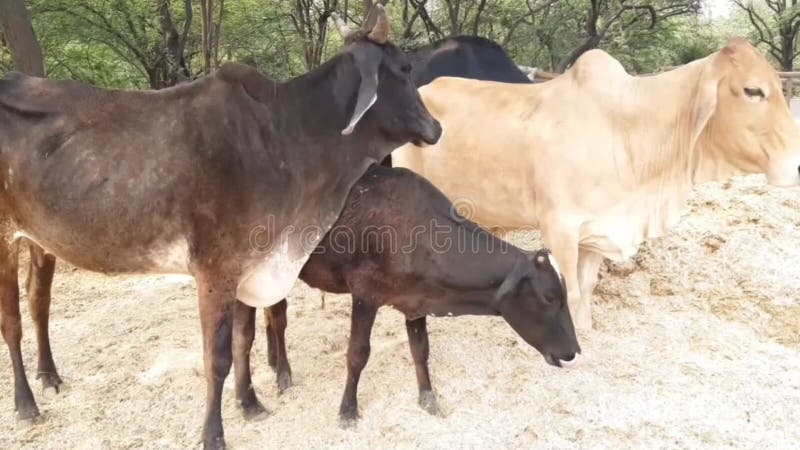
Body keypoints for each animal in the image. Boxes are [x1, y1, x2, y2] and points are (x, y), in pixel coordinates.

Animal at [0, 7, 438, 450]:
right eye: (404, 68)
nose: (436, 127)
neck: (286, 138)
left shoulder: (250, 266)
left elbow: (245, 340)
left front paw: (250, 403)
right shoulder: (216, 271)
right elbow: (219, 356)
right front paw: (213, 433)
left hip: (40, 239)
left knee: (38, 300)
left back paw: (49, 376)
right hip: (5, 239)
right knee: (12, 323)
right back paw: (26, 404)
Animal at [231, 167, 580, 428]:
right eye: (550, 297)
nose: (575, 351)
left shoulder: (416, 302)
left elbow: (420, 350)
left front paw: (428, 398)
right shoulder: (365, 294)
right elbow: (357, 353)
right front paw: (347, 410)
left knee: (272, 312)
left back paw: (275, 364)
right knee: (277, 318)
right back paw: (282, 374)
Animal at [392, 38, 800, 330]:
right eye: (752, 91)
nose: (795, 162)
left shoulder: (597, 232)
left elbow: (585, 291)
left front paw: (586, 331)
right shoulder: (559, 228)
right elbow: (569, 292)